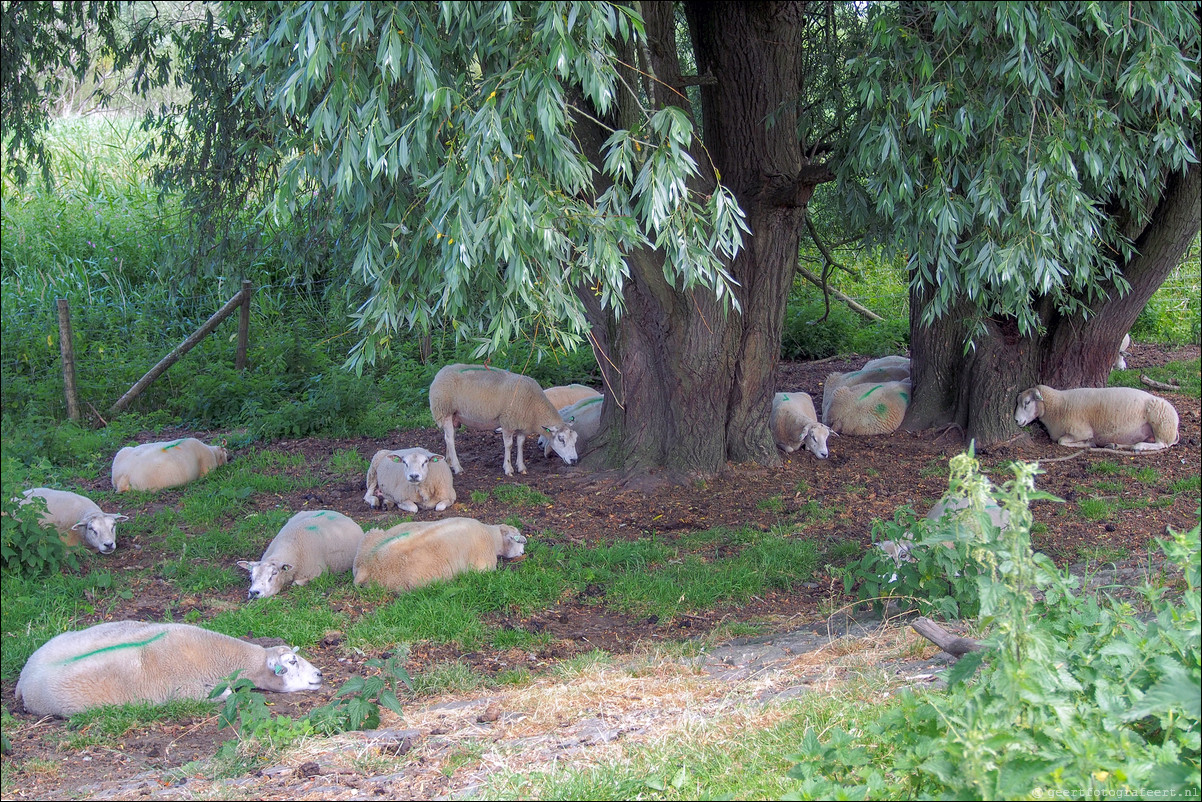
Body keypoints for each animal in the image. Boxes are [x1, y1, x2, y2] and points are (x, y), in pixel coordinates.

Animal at [430, 363, 579, 476]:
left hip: (454, 415)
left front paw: (521, 467)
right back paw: (457, 467)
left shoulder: (522, 425)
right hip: (444, 411)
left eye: (575, 439)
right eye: (561, 439)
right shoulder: (507, 421)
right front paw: (508, 469)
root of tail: (440, 373)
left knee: (447, 437)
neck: (534, 407)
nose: (574, 460)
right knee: (450, 438)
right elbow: (509, 445)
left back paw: (449, 462)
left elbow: (520, 443)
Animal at [1009, 384, 1177, 452]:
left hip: (1162, 424)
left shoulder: (1081, 431)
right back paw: (1115, 445)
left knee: (1162, 444)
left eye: (1027, 402)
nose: (1016, 420)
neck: (1058, 406)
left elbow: (1062, 441)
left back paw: (1139, 446)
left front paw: (1089, 443)